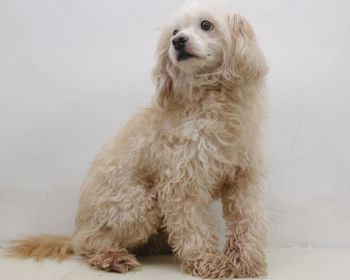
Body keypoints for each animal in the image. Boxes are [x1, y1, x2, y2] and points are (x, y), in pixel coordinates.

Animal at [7, 1, 268, 278]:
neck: (210, 101)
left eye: (206, 24)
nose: (178, 41)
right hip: (138, 206)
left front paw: (247, 261)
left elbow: (249, 219)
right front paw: (208, 261)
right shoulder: (182, 184)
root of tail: (76, 230)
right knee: (89, 242)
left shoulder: (244, 179)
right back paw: (112, 256)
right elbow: (194, 227)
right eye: (174, 31)